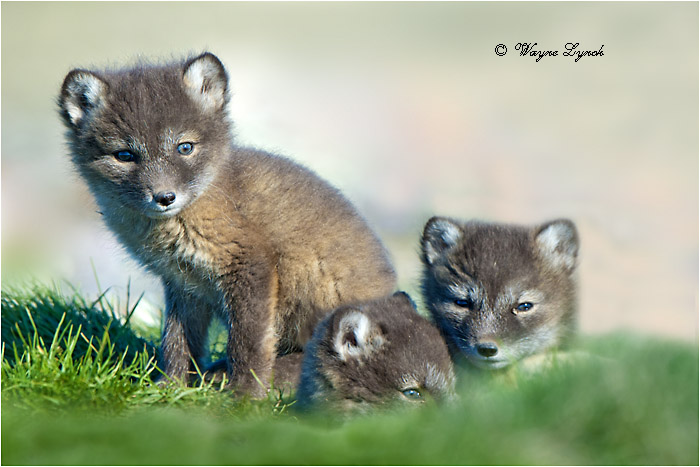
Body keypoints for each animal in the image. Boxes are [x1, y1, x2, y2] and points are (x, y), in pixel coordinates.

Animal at [58, 52, 396, 396]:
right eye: (124, 155)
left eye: (184, 147)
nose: (164, 197)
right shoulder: (184, 284)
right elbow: (178, 341)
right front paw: (171, 388)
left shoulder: (250, 264)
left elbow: (247, 342)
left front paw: (246, 395)